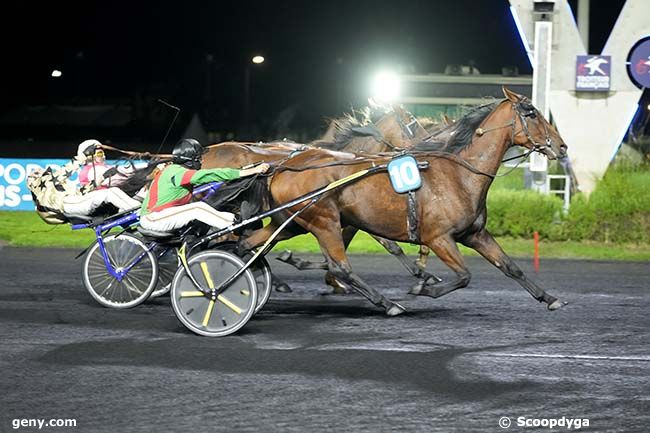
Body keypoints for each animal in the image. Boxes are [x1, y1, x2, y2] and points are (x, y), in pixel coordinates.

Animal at [238, 88, 568, 316]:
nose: (562, 147)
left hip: (292, 222)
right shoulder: (439, 237)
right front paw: (423, 286)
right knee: (341, 266)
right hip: (323, 221)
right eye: (531, 113)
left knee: (248, 244)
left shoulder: (475, 234)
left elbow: (510, 267)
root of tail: (284, 166)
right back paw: (387, 303)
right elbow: (464, 275)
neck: (460, 174)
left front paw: (550, 299)